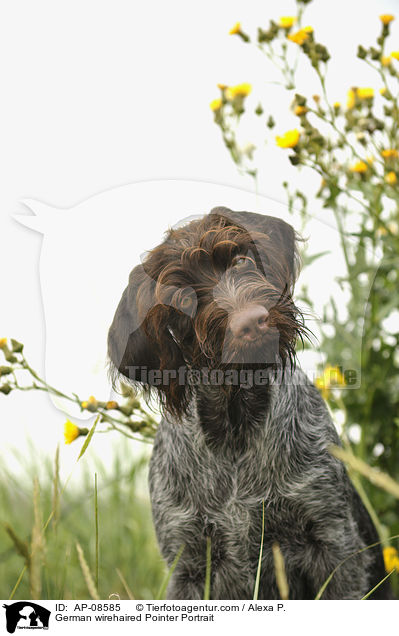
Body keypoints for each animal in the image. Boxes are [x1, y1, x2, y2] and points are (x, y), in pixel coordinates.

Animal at [108, 206, 392, 600]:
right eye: (182, 300)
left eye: (241, 259)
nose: (251, 323)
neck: (236, 424)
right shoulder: (187, 564)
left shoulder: (334, 541)